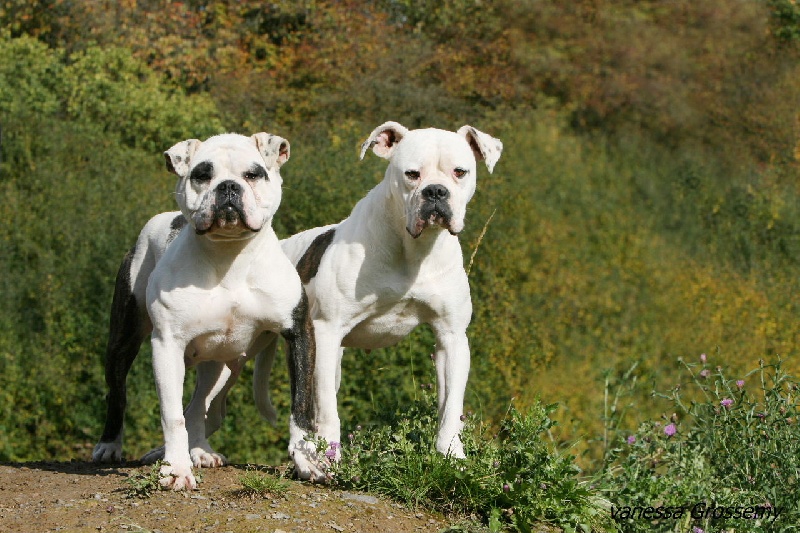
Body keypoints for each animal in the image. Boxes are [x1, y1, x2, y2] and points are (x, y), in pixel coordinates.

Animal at [90, 133, 322, 486]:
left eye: (253, 174)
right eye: (202, 174)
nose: (228, 187)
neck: (230, 256)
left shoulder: (298, 334)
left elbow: (301, 407)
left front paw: (307, 461)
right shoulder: (167, 345)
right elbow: (171, 415)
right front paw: (176, 470)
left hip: (222, 365)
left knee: (199, 406)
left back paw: (200, 451)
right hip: (123, 341)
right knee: (120, 393)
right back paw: (110, 446)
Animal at [256, 120, 504, 458]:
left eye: (460, 172)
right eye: (411, 174)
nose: (436, 191)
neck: (414, 250)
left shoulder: (452, 336)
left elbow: (451, 406)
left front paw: (453, 455)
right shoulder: (328, 330)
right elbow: (328, 408)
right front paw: (331, 457)